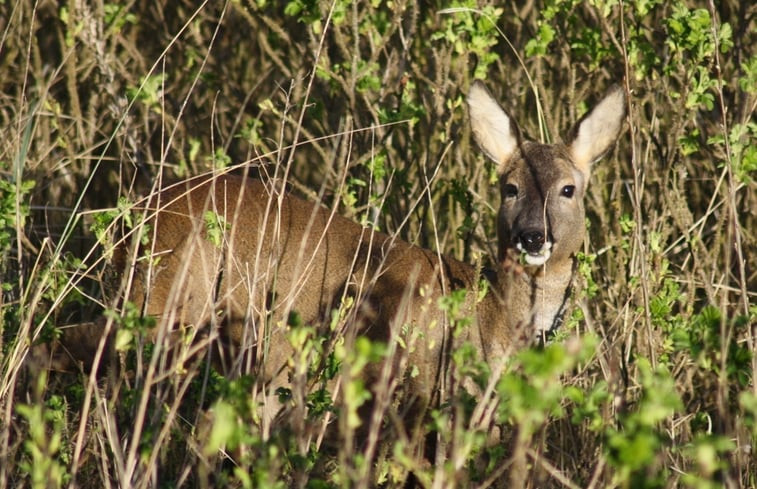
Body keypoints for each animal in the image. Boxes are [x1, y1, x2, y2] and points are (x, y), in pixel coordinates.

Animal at [38, 82, 624, 436]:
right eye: (508, 187)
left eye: (568, 188)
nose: (532, 236)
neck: (492, 315)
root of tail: (133, 220)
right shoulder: (415, 382)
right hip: (172, 307)